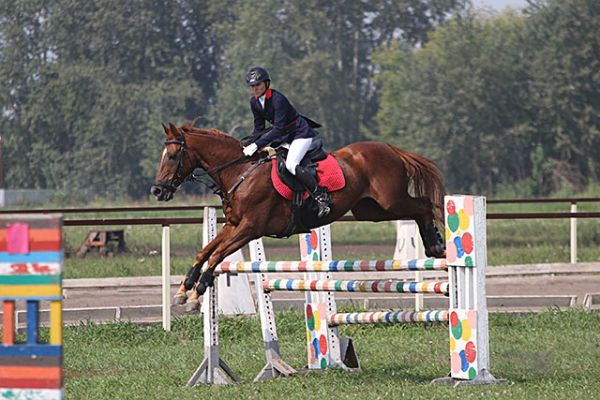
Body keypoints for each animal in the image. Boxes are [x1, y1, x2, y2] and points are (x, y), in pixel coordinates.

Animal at [152, 122, 446, 310]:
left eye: (173, 156)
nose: (157, 190)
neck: (241, 172)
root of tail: (390, 148)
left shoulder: (250, 228)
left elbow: (216, 255)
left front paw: (196, 293)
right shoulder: (234, 225)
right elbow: (205, 252)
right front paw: (183, 290)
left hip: (390, 200)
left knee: (424, 206)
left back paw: (437, 245)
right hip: (371, 210)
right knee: (418, 208)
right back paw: (435, 245)